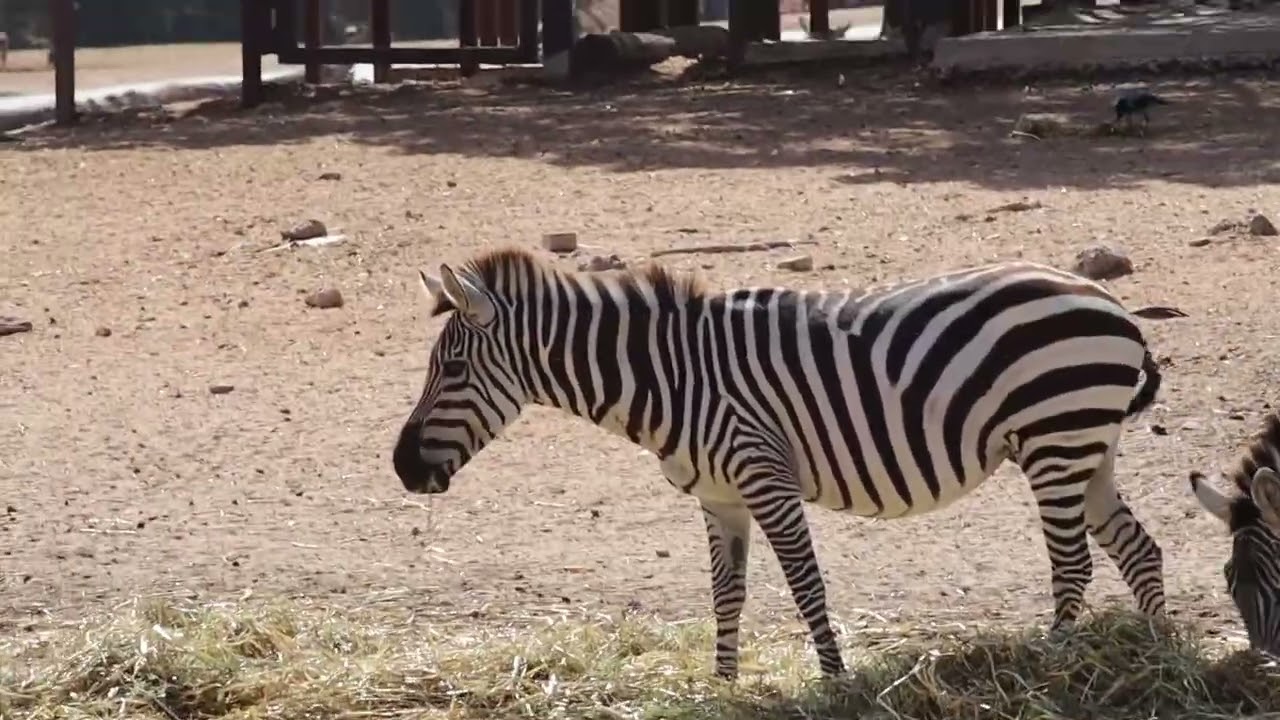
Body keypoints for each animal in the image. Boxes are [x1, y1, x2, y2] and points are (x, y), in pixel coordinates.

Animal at [392, 247, 1180, 679]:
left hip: (1054, 440)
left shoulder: (764, 475)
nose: (402, 469)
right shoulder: (719, 497)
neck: (671, 377)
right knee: (1139, 549)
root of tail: (1108, 301)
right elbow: (727, 595)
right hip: (1086, 445)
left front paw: (834, 681)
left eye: (451, 370)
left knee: (1073, 565)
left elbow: (806, 587)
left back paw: (1052, 662)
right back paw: (1163, 656)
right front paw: (724, 685)